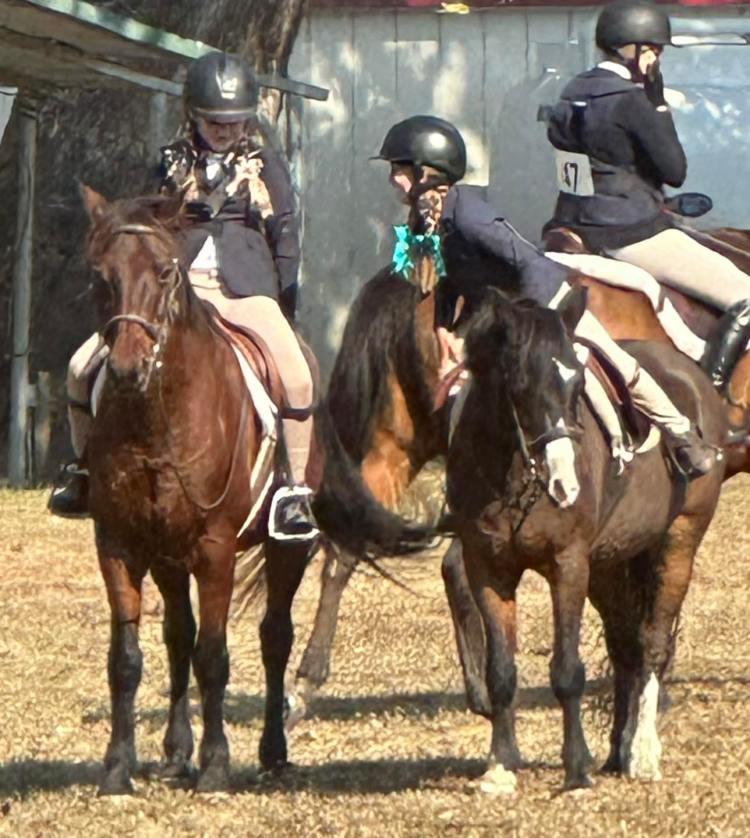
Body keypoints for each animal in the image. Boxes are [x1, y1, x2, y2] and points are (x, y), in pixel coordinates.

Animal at [79, 187, 314, 794]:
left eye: (164, 273)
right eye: (101, 276)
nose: (128, 368)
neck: (157, 415)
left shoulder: (215, 548)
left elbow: (214, 654)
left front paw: (215, 766)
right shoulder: (117, 543)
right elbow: (127, 658)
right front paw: (118, 767)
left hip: (287, 549)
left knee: (273, 636)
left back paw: (271, 751)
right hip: (167, 555)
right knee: (177, 635)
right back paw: (175, 750)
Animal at [445, 286, 726, 792]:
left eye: (577, 386)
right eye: (520, 385)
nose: (565, 483)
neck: (514, 476)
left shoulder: (568, 565)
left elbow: (567, 670)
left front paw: (575, 768)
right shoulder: (488, 568)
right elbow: (501, 670)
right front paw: (500, 767)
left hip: (677, 544)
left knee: (652, 644)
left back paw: (642, 752)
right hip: (611, 565)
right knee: (626, 647)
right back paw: (618, 749)